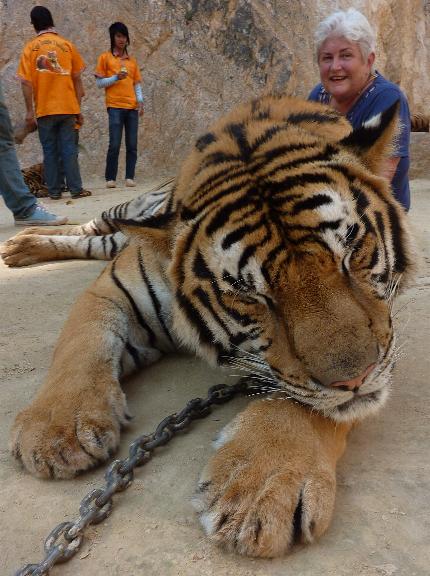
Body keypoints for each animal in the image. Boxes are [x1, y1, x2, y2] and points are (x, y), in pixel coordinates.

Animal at [1, 95, 414, 560]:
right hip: (123, 214)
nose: (354, 379)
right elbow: (81, 342)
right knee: (93, 227)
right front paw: (54, 431)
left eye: (351, 253)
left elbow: (308, 400)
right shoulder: (113, 288)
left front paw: (259, 486)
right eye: (252, 295)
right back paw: (22, 244)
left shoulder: (387, 339)